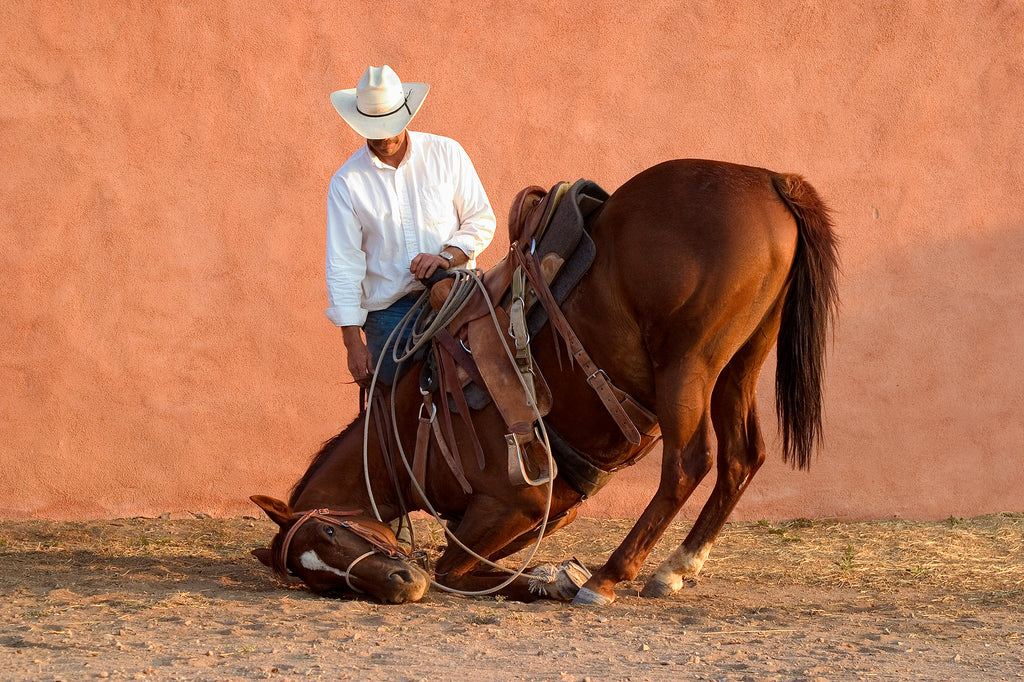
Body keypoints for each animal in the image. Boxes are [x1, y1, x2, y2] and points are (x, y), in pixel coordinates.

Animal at [251, 160, 835, 606]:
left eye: (331, 532)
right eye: (325, 584)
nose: (398, 586)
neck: (411, 427)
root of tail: (769, 181)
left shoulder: (511, 505)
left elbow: (450, 572)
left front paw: (556, 579)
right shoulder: (550, 514)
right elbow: (478, 569)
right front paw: (551, 576)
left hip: (689, 364)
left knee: (688, 463)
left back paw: (609, 577)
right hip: (741, 362)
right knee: (742, 457)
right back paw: (677, 566)